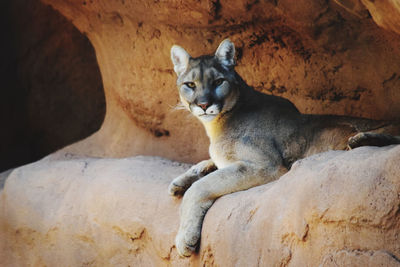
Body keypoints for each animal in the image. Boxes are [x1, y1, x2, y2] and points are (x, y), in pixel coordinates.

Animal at [167, 39, 398, 258]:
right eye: (190, 84)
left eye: (218, 82)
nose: (204, 105)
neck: (217, 124)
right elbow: (210, 164)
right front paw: (182, 180)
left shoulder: (266, 166)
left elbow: (201, 187)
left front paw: (185, 238)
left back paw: (362, 139)